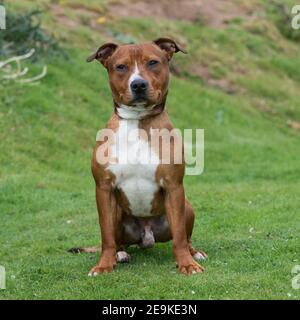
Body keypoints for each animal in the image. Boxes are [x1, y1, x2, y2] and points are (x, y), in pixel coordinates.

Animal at [69, 38, 206, 276]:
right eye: (121, 67)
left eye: (153, 62)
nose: (139, 84)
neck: (137, 120)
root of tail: (147, 237)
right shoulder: (103, 189)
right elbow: (106, 236)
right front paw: (104, 265)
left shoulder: (173, 186)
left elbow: (179, 235)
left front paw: (186, 263)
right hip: (117, 212)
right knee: (118, 241)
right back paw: (120, 254)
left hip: (187, 207)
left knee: (184, 237)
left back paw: (194, 253)